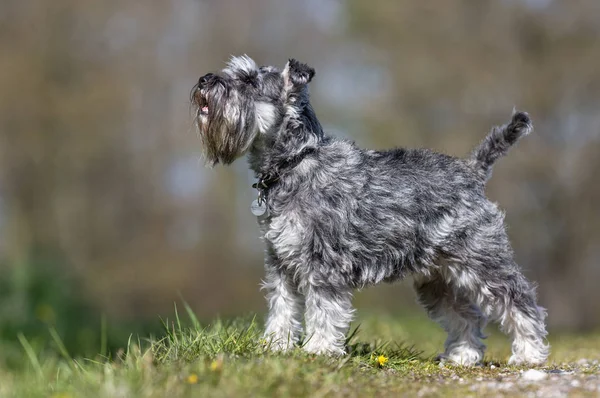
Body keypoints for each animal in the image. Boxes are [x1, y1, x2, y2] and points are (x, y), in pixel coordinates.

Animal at [191, 54, 548, 366]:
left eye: (249, 81)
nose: (204, 79)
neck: (295, 162)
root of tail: (472, 171)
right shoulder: (282, 264)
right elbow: (282, 309)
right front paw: (276, 346)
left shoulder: (323, 264)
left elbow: (324, 310)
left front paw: (318, 349)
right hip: (437, 280)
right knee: (466, 315)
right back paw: (463, 356)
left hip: (484, 263)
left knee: (521, 304)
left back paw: (529, 354)